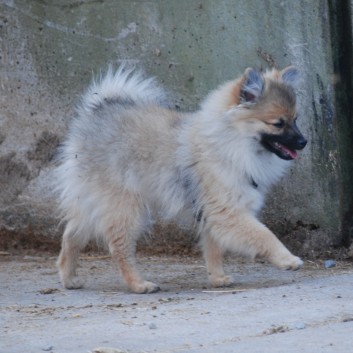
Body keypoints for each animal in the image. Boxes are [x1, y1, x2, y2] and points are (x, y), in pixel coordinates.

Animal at [55, 64, 306, 292]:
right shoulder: (228, 212)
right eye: (278, 123)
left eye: (296, 119)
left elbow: (214, 249)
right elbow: (264, 235)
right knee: (119, 247)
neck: (231, 143)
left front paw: (217, 278)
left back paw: (69, 279)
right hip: (125, 207)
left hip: (94, 201)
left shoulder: (211, 212)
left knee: (71, 235)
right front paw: (287, 259)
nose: (304, 142)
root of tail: (96, 114)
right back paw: (139, 284)